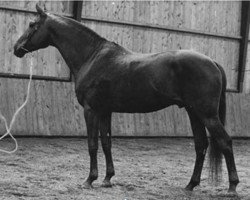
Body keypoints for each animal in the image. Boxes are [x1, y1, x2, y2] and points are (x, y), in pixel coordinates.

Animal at [13, 3, 238, 194]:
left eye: (32, 24)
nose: (16, 48)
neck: (92, 57)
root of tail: (212, 61)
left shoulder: (91, 110)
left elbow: (92, 144)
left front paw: (89, 180)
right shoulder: (105, 111)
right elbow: (107, 143)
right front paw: (107, 179)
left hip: (207, 114)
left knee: (225, 142)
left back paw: (232, 187)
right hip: (194, 113)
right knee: (201, 145)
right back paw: (190, 185)